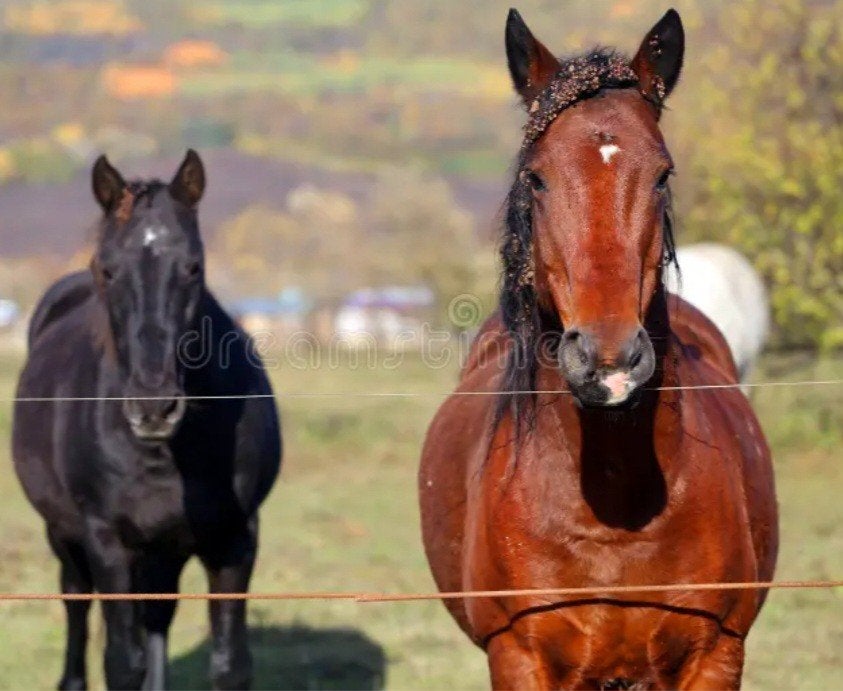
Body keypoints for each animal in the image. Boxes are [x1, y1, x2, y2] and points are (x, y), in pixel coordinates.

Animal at [13, 151, 281, 690]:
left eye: (194, 267)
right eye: (108, 269)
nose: (154, 407)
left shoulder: (235, 538)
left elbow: (230, 664)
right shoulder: (107, 540)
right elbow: (122, 661)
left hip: (165, 549)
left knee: (158, 616)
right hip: (65, 535)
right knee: (76, 599)